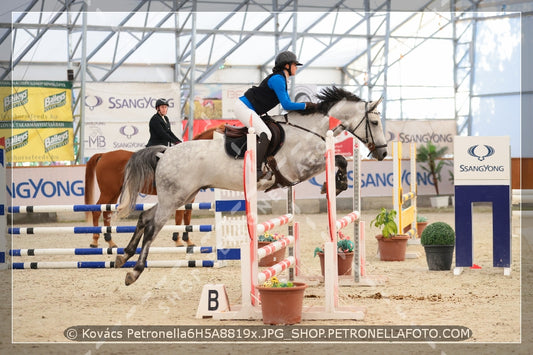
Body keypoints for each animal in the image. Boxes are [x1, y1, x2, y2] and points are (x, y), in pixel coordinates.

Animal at [85, 126, 222, 249]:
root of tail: (104, 155)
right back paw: (95, 240)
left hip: (114, 192)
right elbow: (180, 216)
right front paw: (178, 240)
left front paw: (186, 240)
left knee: (106, 211)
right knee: (97, 210)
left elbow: (187, 216)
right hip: (108, 191)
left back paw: (110, 241)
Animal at [115, 87, 386, 286]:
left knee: (144, 217)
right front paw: (336, 185)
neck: (309, 130)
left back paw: (122, 256)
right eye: (374, 122)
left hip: (179, 196)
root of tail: (164, 153)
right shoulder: (299, 169)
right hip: (174, 197)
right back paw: (133, 271)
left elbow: (341, 160)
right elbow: (339, 159)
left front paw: (336, 184)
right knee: (153, 226)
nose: (382, 153)